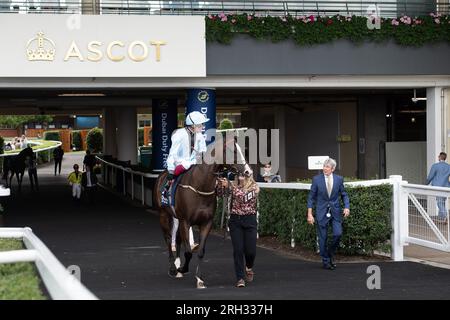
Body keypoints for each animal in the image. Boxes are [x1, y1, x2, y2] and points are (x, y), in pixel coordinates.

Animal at [155, 139, 250, 288]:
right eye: (233, 151)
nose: (248, 171)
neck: (200, 185)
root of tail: (162, 174)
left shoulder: (206, 222)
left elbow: (200, 251)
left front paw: (199, 279)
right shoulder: (185, 221)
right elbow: (188, 252)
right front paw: (183, 268)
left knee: (177, 238)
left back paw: (177, 264)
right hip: (164, 215)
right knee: (168, 238)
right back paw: (173, 268)